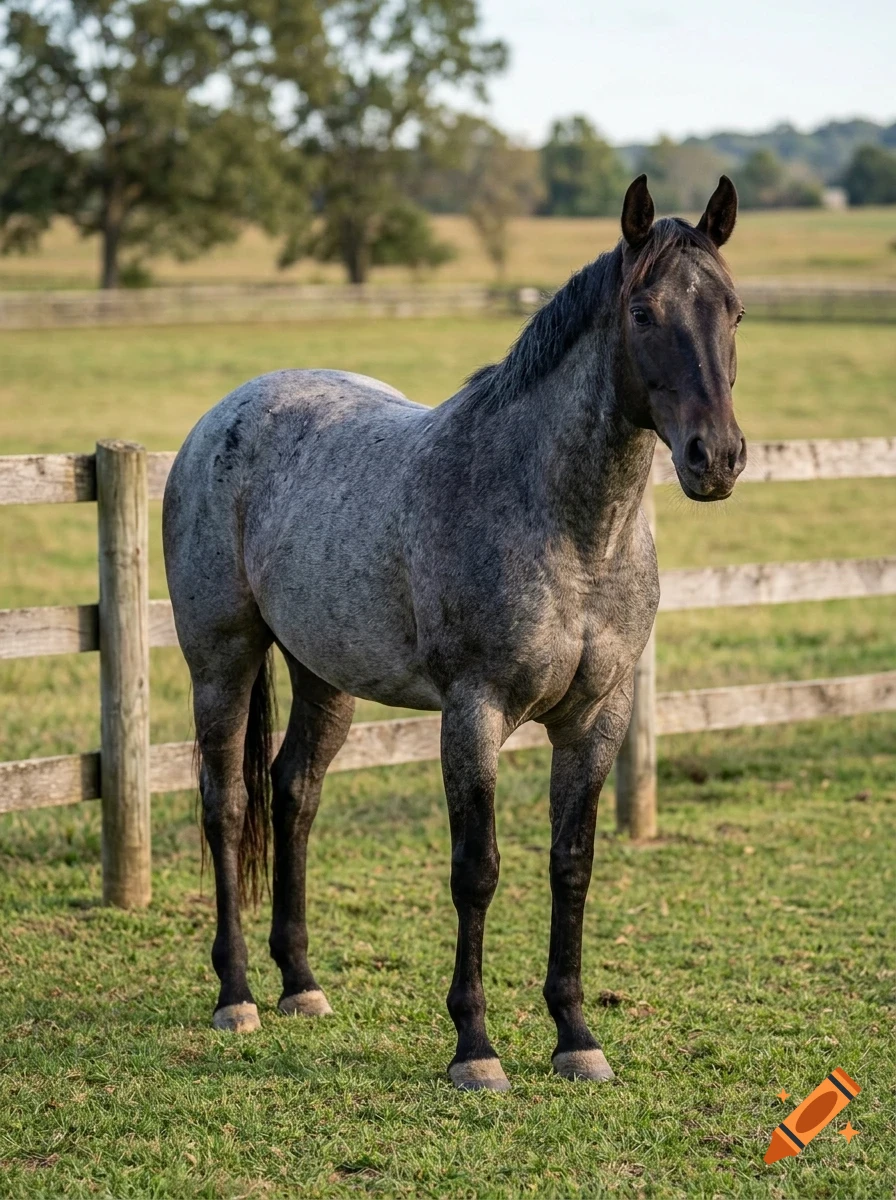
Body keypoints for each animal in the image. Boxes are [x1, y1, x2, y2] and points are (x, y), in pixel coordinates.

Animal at [163, 175, 746, 1091]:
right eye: (644, 311)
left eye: (734, 312)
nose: (715, 458)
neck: (570, 530)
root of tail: (225, 414)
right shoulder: (474, 713)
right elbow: (478, 871)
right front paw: (475, 1048)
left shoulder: (598, 718)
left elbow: (571, 865)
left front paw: (576, 1037)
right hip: (221, 659)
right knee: (226, 805)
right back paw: (238, 996)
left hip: (324, 673)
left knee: (295, 793)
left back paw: (302, 984)